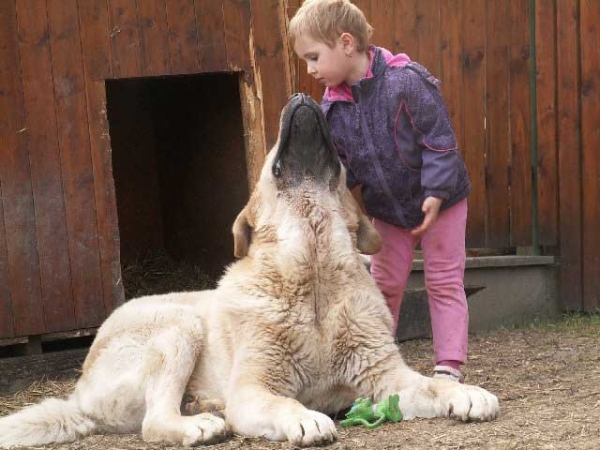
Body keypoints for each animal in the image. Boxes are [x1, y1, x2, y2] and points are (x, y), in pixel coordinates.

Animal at [0, 93, 500, 448]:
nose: (301, 95)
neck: (313, 279)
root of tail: (78, 396)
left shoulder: (385, 378)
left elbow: (431, 386)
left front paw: (463, 392)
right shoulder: (255, 389)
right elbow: (282, 403)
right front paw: (303, 417)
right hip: (178, 325)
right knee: (153, 423)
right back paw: (199, 424)